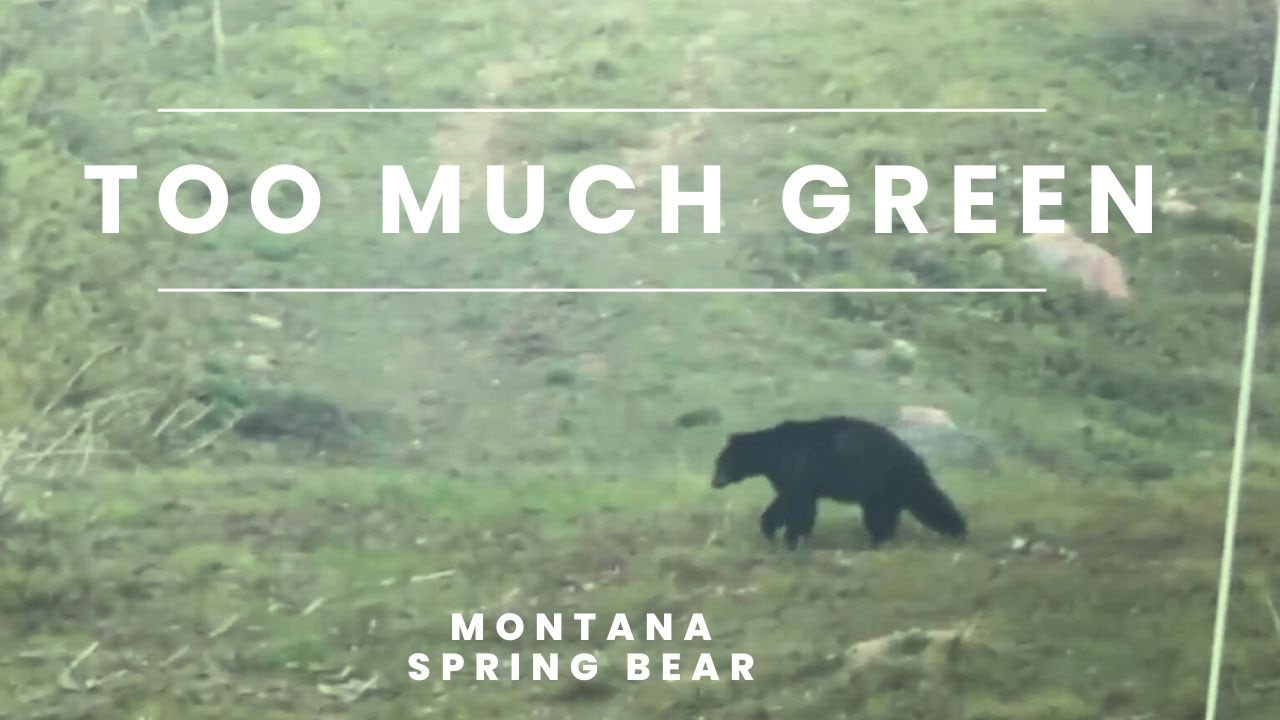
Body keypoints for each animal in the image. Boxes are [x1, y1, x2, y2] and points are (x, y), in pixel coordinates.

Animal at [710, 416, 968, 550]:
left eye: (719, 462)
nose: (714, 482)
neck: (771, 454)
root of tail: (910, 452)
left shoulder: (797, 466)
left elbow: (799, 505)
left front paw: (793, 538)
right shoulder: (788, 475)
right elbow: (784, 502)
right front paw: (770, 528)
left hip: (890, 478)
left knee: (924, 500)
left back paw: (957, 530)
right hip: (886, 489)